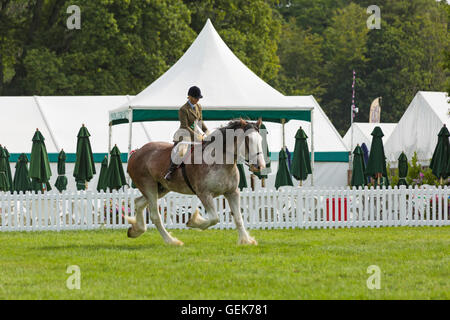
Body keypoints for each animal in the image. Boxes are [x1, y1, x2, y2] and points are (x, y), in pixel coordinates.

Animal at [125, 119, 266, 246]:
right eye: (248, 140)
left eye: (260, 140)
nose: (260, 166)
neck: (219, 160)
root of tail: (136, 152)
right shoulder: (204, 194)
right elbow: (214, 218)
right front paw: (193, 222)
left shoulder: (232, 193)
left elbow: (238, 218)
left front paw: (246, 241)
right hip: (149, 187)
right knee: (155, 216)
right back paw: (171, 241)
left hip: (161, 189)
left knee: (139, 202)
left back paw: (136, 230)